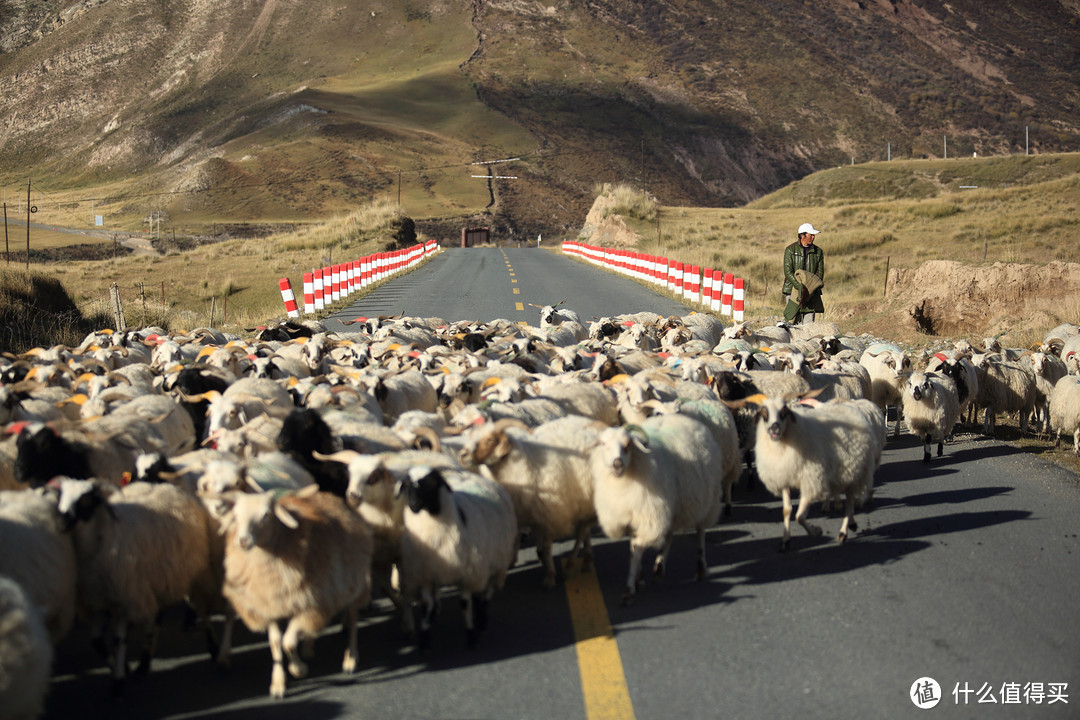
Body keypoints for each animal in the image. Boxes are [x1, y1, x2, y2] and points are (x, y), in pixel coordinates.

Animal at [212, 483, 373, 699]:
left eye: (266, 515)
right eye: (236, 515)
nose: (243, 540)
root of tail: (331, 497)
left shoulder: (310, 604)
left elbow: (287, 642)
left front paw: (298, 670)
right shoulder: (270, 606)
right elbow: (275, 643)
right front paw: (278, 683)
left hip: (353, 583)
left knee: (353, 617)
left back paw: (350, 659)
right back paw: (308, 648)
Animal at [587, 414, 730, 604]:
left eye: (628, 445)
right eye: (603, 444)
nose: (617, 463)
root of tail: (686, 418)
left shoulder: (648, 517)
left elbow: (636, 551)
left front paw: (629, 589)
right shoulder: (631, 517)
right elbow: (633, 548)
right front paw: (639, 579)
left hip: (706, 500)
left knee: (700, 532)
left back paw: (700, 568)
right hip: (671, 506)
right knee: (668, 536)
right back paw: (659, 569)